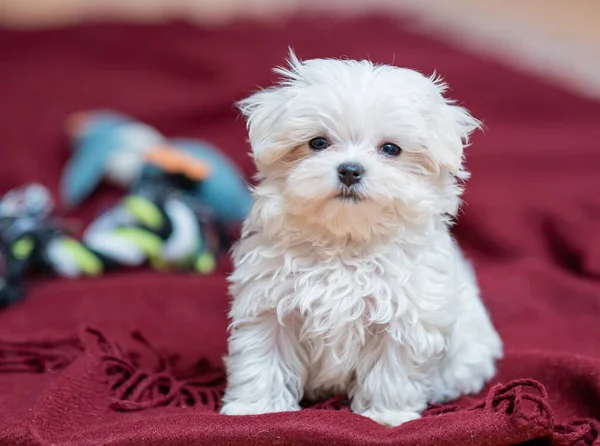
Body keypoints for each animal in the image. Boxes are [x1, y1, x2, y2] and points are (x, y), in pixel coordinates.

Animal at [220, 49, 502, 426]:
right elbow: (263, 357)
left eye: (391, 149)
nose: (350, 170)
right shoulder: (269, 303)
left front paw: (387, 416)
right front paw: (255, 409)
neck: (346, 241)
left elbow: (391, 370)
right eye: (318, 143)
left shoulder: (403, 318)